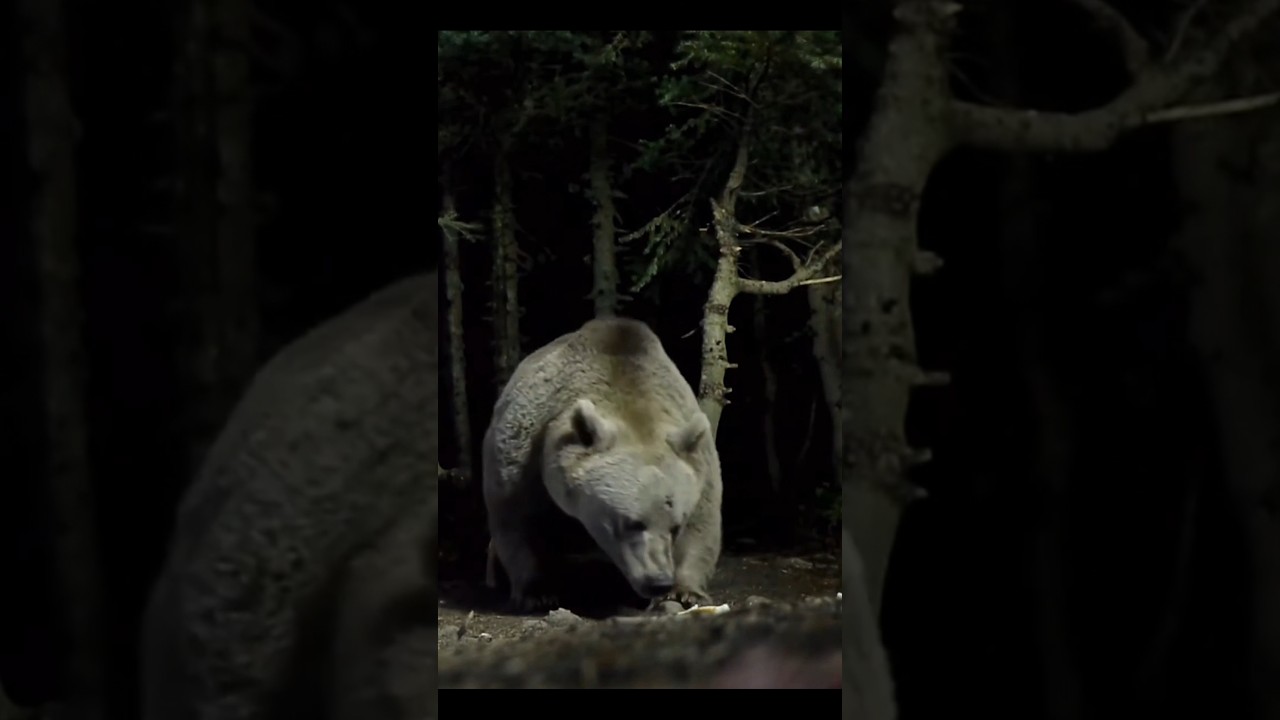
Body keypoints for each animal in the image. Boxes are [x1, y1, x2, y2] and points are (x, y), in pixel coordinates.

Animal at [482, 316, 722, 613]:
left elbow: (702, 524)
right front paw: (536, 591)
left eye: (675, 526)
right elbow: (518, 518)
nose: (658, 581)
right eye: (632, 523)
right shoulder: (525, 455)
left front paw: (685, 591)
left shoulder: (698, 463)